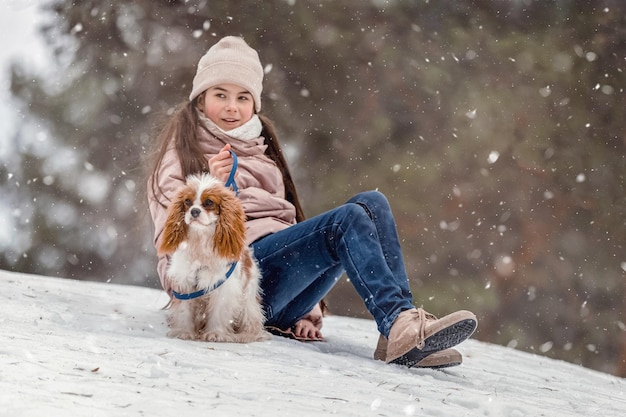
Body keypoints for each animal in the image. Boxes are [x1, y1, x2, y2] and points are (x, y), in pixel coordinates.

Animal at [157, 171, 266, 342]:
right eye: (187, 201)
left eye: (208, 202)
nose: (194, 211)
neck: (200, 240)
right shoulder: (184, 283)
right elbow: (184, 311)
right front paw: (184, 332)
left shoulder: (222, 286)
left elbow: (219, 313)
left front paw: (216, 333)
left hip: (248, 297)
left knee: (252, 320)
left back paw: (245, 335)